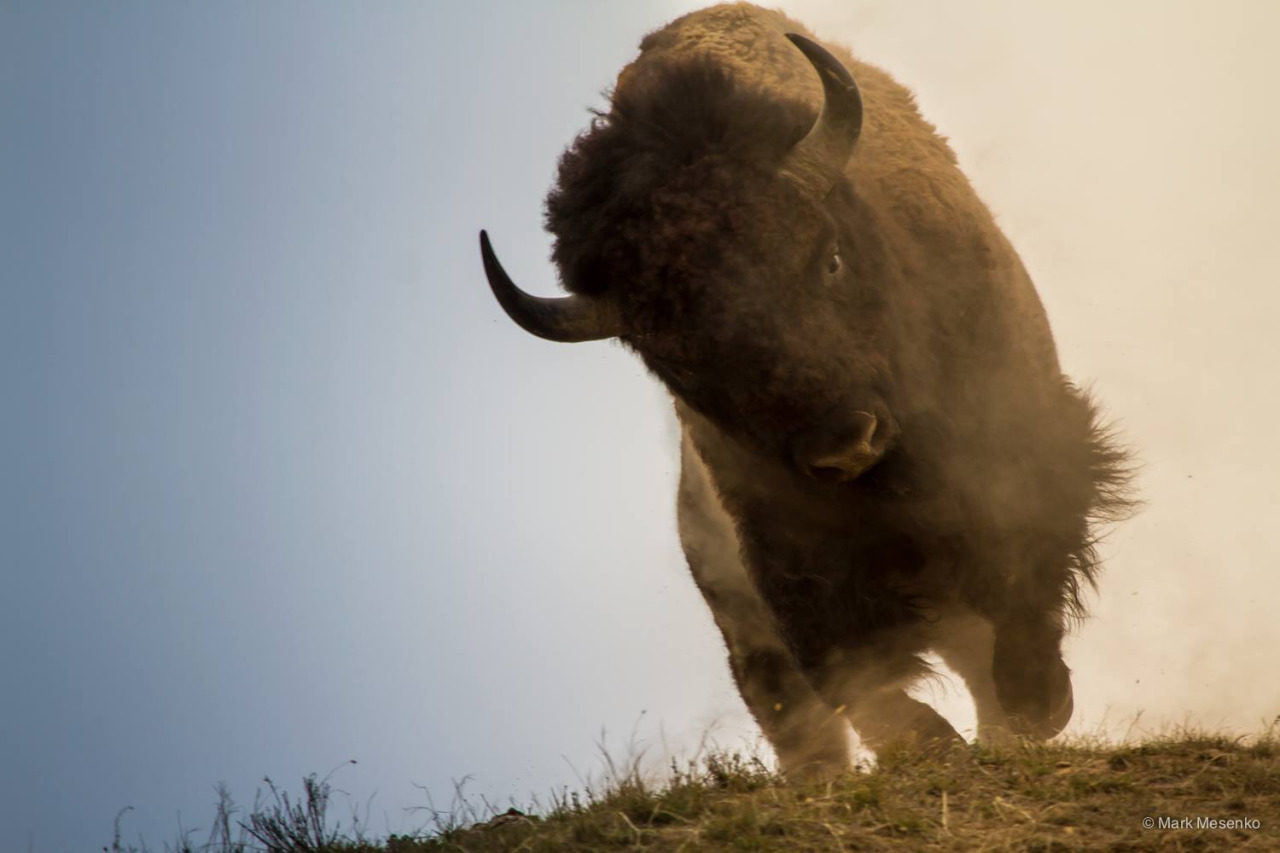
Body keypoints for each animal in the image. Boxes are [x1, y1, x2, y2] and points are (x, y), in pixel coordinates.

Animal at [479, 3, 1130, 778]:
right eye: (676, 360)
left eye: (831, 259)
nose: (847, 441)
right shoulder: (788, 560)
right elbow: (853, 672)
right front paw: (931, 745)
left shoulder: (1022, 459)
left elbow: (1024, 578)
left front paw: (1037, 703)